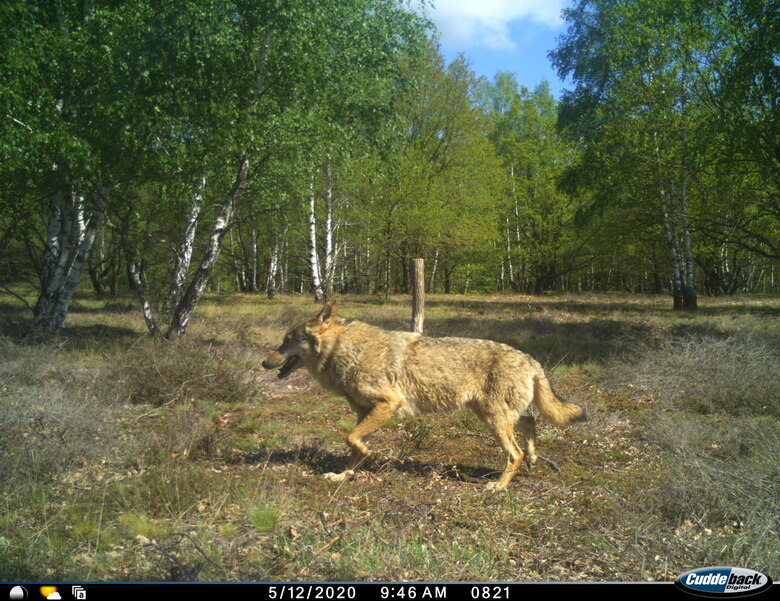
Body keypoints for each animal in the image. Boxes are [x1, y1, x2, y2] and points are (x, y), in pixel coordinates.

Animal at [262, 302, 584, 490]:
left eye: (287, 340)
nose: (264, 363)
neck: (344, 351)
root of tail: (531, 359)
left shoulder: (389, 403)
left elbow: (351, 440)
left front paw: (366, 455)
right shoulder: (364, 412)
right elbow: (352, 447)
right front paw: (344, 476)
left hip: (494, 420)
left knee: (514, 452)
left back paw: (499, 487)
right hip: (491, 415)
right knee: (530, 422)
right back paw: (533, 459)